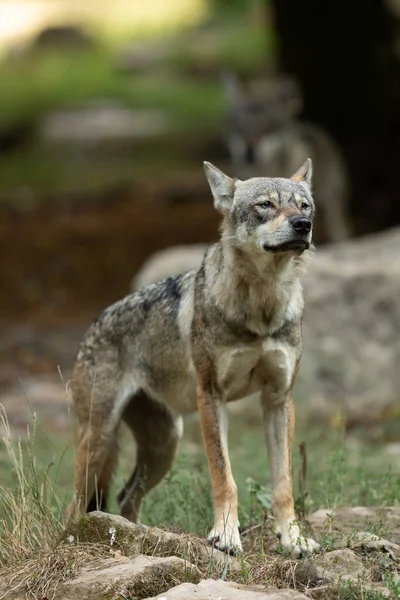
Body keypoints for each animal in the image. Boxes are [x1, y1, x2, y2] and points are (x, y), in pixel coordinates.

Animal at [68, 159, 318, 556]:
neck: (261, 307)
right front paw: (226, 535)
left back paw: (137, 535)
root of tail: (94, 322)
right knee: (75, 506)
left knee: (125, 498)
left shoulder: (278, 399)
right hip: (100, 441)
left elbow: (283, 484)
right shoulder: (210, 395)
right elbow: (224, 475)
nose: (303, 225)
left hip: (165, 445)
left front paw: (292, 539)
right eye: (265, 205)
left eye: (304, 206)